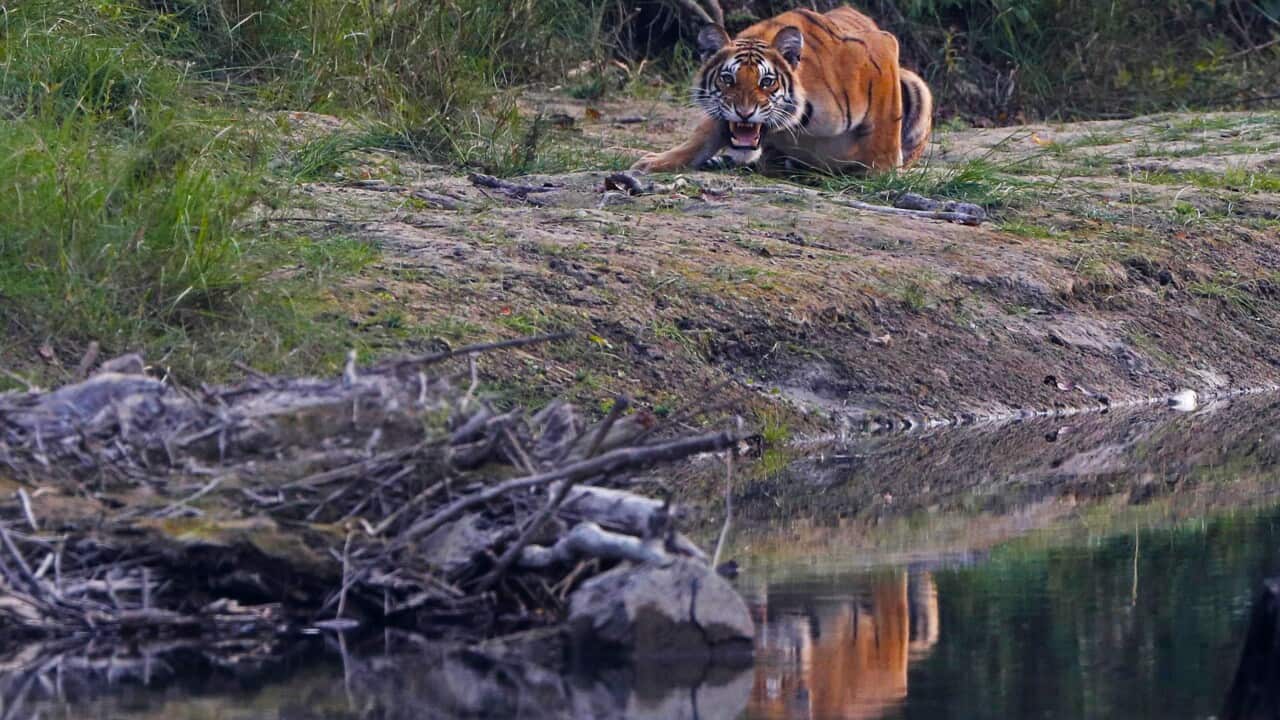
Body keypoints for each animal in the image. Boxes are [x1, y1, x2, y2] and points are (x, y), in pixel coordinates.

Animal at [631, 5, 933, 175]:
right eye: (727, 79)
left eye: (767, 82)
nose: (744, 113)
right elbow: (703, 135)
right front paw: (655, 162)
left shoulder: (882, 49)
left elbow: (886, 122)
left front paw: (882, 172)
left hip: (915, 85)